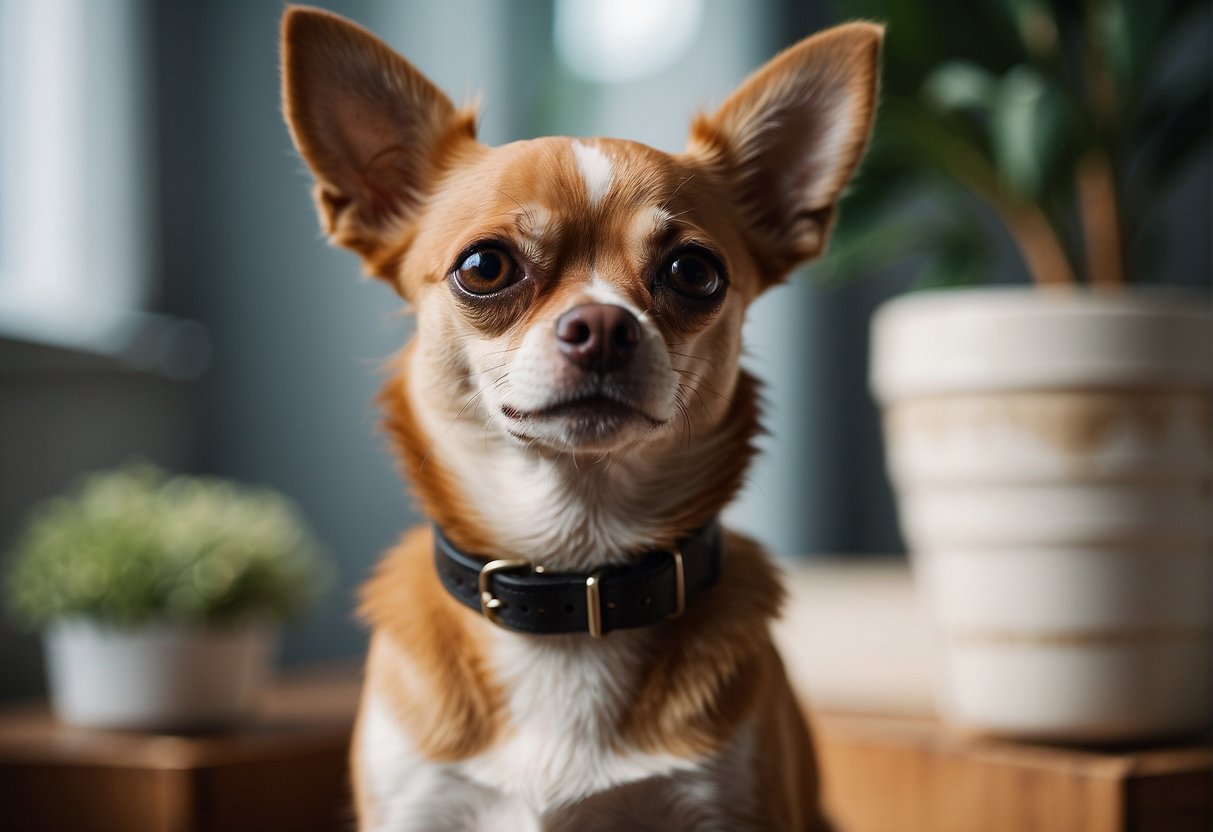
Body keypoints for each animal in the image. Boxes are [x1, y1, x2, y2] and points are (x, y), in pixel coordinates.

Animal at [278, 4, 878, 829]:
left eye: (694, 272)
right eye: (484, 266)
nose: (601, 326)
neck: (573, 576)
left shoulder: (730, 804)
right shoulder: (416, 805)